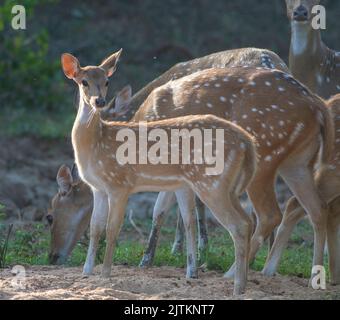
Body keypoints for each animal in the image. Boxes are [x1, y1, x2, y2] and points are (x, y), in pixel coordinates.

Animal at [61, 52, 258, 296]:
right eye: (83, 81)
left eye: (106, 81)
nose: (99, 101)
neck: (96, 143)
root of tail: (247, 143)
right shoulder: (98, 187)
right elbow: (95, 227)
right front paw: (86, 273)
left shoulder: (119, 184)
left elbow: (112, 228)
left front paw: (105, 275)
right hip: (225, 186)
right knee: (247, 221)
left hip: (212, 184)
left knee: (239, 225)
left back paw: (238, 288)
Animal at [132, 65, 332, 282]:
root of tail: (317, 105)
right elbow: (159, 210)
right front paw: (146, 261)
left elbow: (180, 213)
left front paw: (188, 268)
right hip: (298, 163)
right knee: (317, 209)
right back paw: (312, 277)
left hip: (264, 154)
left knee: (269, 215)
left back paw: (232, 272)